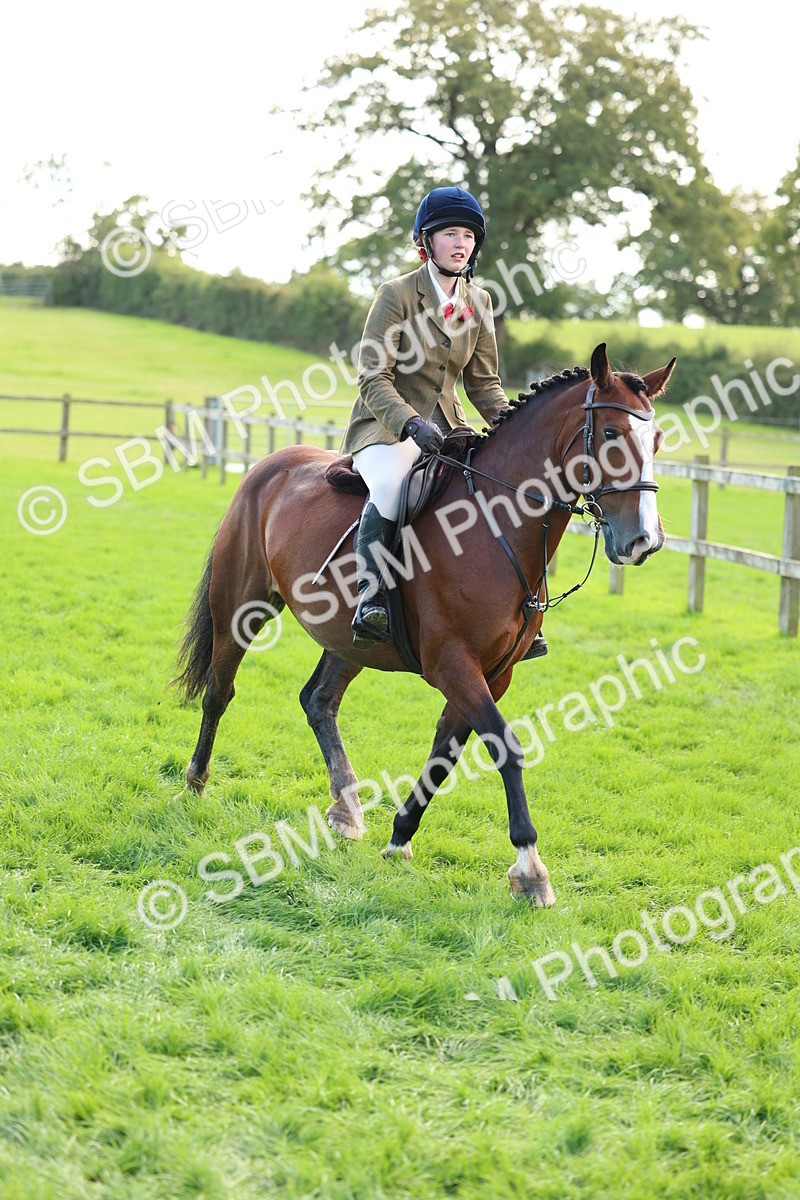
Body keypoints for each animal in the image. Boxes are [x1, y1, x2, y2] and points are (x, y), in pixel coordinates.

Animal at [174, 343, 674, 905]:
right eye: (610, 434)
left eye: (655, 439)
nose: (644, 541)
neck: (494, 525)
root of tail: (269, 464)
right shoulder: (452, 663)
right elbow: (505, 746)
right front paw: (530, 869)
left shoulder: (493, 673)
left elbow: (445, 752)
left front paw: (399, 838)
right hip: (239, 608)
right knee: (219, 691)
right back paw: (195, 784)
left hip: (352, 642)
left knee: (319, 701)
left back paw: (346, 808)